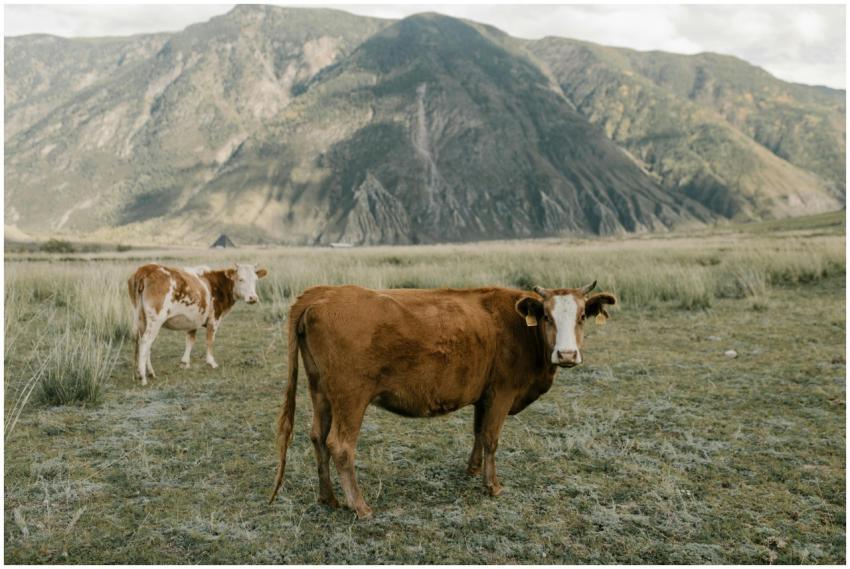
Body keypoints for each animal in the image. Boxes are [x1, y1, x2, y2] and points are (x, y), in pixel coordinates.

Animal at [127, 263, 268, 385]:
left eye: (255, 280)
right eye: (240, 279)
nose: (253, 298)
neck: (217, 284)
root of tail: (146, 269)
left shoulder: (193, 320)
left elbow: (190, 340)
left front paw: (185, 363)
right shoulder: (214, 319)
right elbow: (210, 340)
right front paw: (211, 362)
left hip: (141, 318)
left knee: (142, 342)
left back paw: (146, 373)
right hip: (156, 319)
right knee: (146, 341)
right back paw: (143, 377)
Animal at [269, 281, 616, 518]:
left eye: (582, 316)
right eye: (545, 316)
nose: (567, 354)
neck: (520, 329)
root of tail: (323, 291)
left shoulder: (483, 394)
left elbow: (478, 432)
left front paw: (473, 470)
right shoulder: (502, 391)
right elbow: (491, 438)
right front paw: (492, 486)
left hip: (320, 391)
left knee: (317, 437)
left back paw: (328, 498)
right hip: (350, 396)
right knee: (339, 445)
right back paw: (361, 506)